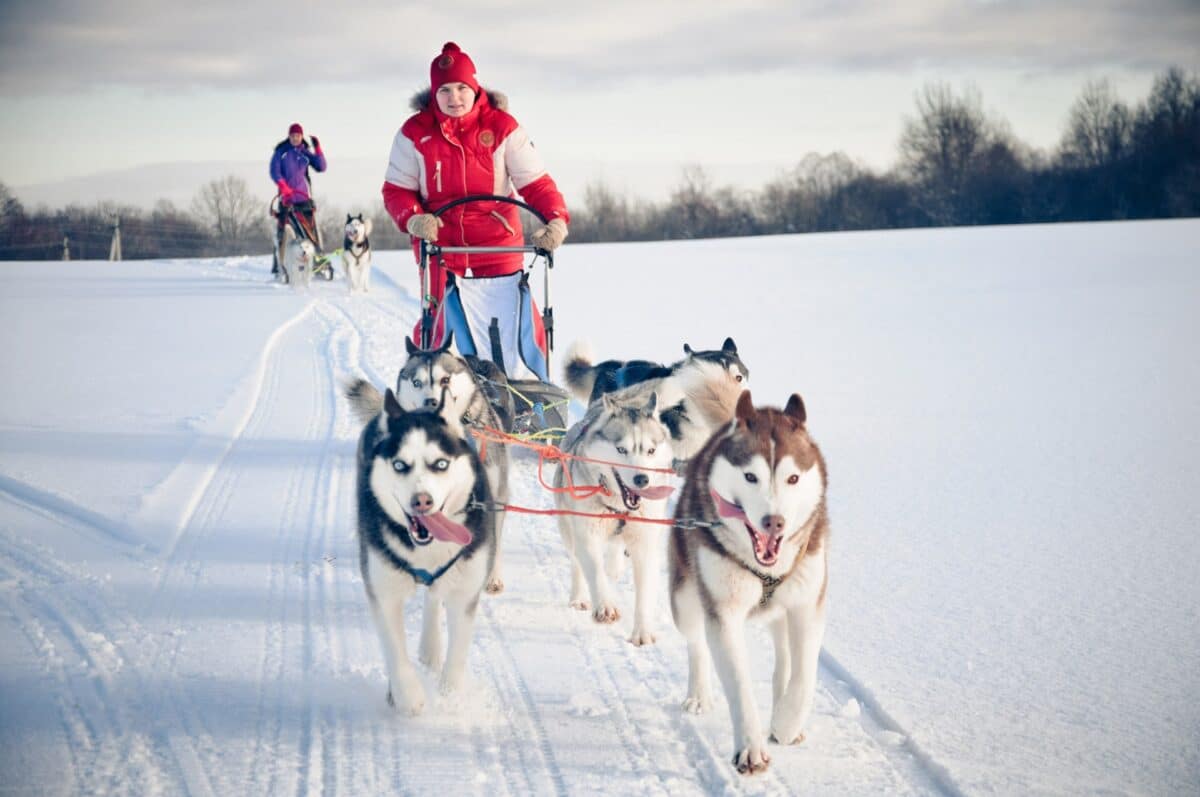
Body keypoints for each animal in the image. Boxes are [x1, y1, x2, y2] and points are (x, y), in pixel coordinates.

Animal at [352, 388, 494, 710]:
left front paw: (450, 695)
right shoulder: (384, 592)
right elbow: (394, 650)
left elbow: (458, 651)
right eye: (399, 465)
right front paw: (408, 696)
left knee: (434, 596)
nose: (422, 501)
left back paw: (431, 648)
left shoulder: (464, 591)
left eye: (441, 464)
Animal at [552, 388, 676, 643]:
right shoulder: (587, 535)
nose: (642, 479)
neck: (620, 506)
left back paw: (615, 566)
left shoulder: (645, 543)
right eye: (621, 449)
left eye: (651, 450)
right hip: (568, 529)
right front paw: (605, 606)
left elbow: (645, 593)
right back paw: (579, 596)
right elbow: (595, 573)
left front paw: (642, 632)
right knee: (577, 563)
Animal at [672, 388, 830, 772]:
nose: (774, 522)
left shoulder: (808, 606)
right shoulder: (723, 613)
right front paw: (750, 747)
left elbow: (805, 674)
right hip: (684, 598)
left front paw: (786, 723)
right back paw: (698, 693)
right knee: (696, 643)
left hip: (784, 608)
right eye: (750, 477)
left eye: (793, 478)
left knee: (785, 658)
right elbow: (739, 684)